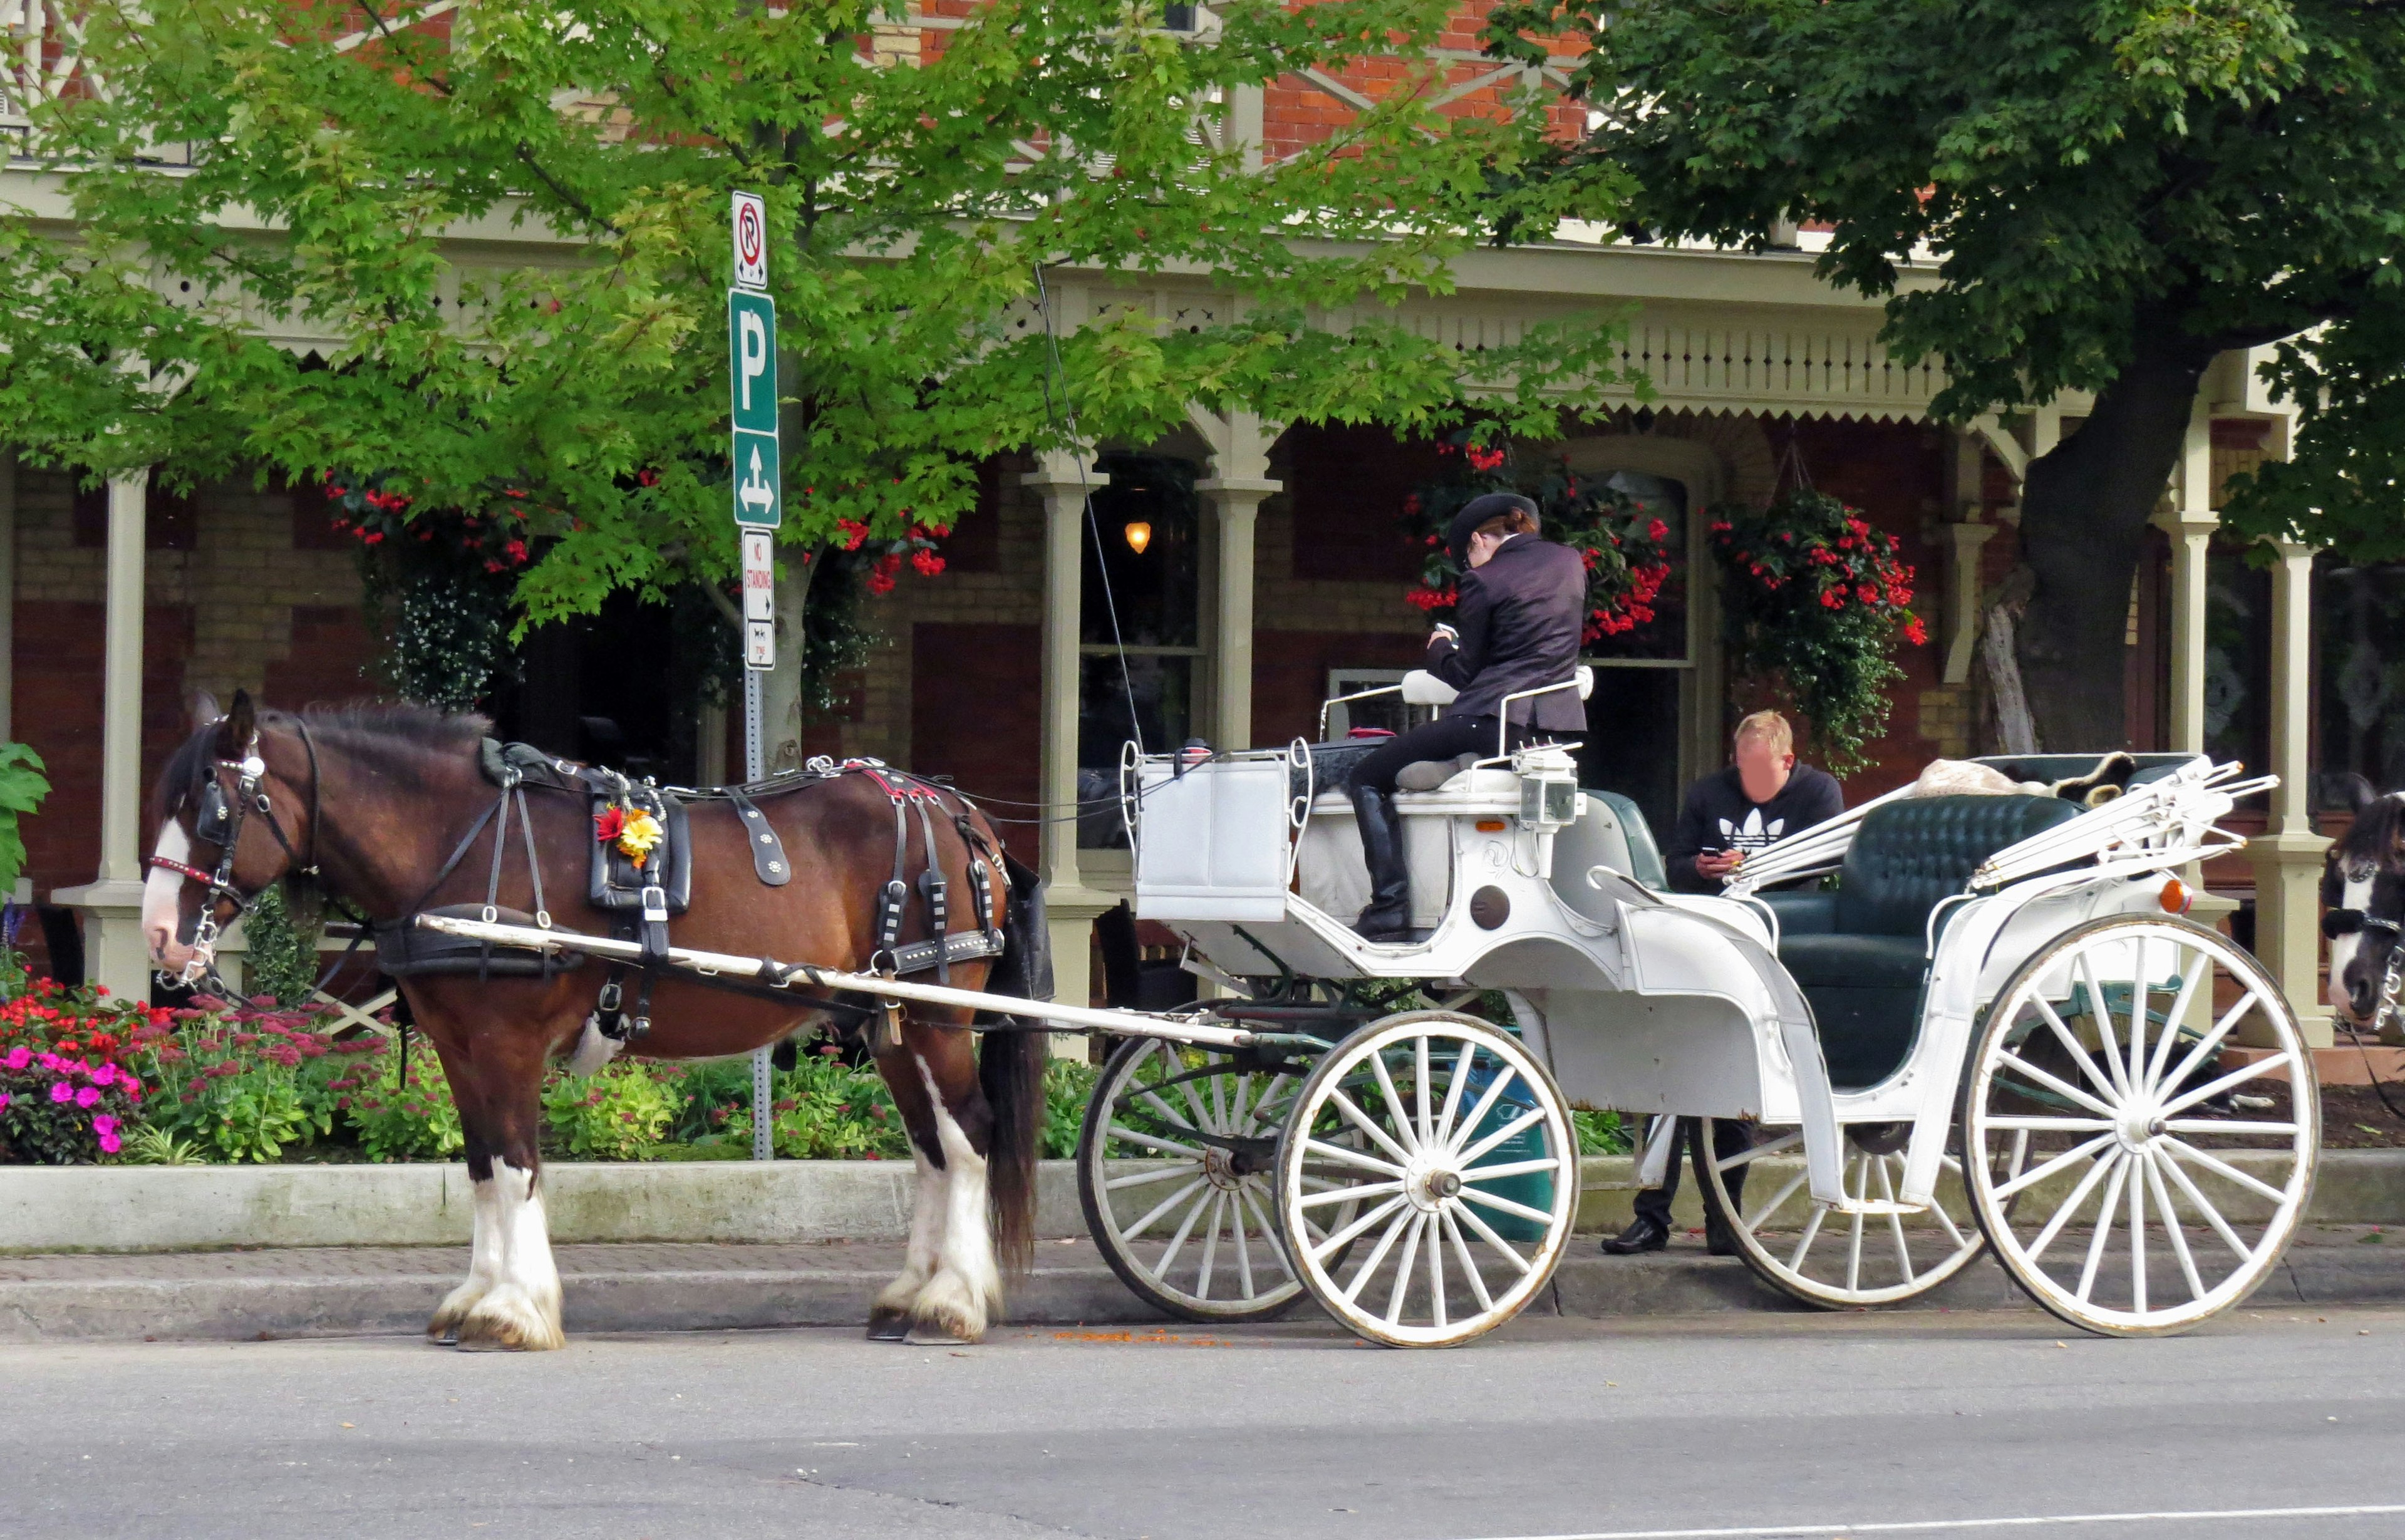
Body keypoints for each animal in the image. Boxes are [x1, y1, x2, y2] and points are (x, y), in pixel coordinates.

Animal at [140, 693, 1043, 1357]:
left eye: (214, 810)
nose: (157, 937)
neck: (465, 842)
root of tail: (958, 810)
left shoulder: (506, 1042)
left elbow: (514, 1166)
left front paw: (513, 1308)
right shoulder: (459, 1047)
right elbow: (481, 1167)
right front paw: (476, 1294)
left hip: (937, 1012)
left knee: (969, 1134)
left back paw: (953, 1300)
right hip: (886, 1019)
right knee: (930, 1146)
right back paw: (912, 1292)